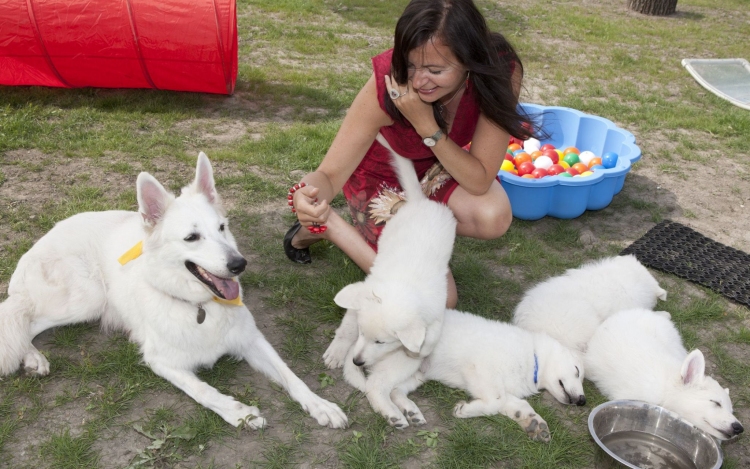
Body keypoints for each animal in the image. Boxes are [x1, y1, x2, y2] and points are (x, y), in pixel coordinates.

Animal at [0, 153, 350, 428]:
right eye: (192, 237)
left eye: (221, 228)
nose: (240, 264)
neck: (200, 306)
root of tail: (43, 239)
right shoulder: (161, 362)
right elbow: (204, 392)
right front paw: (241, 413)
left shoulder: (252, 340)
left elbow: (290, 375)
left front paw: (320, 405)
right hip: (86, 298)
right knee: (21, 317)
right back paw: (33, 357)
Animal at [324, 133, 458, 428]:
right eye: (363, 334)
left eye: (381, 342)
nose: (357, 361)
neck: (402, 284)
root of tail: (419, 202)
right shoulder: (364, 293)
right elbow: (347, 326)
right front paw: (338, 350)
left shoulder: (436, 311)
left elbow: (429, 336)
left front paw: (417, 350)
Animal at [390, 308, 592, 440]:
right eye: (577, 370)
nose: (583, 401)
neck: (533, 358)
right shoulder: (481, 370)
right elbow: (495, 403)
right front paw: (464, 410)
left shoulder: (500, 387)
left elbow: (515, 403)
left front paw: (533, 423)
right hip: (404, 361)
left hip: (417, 374)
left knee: (394, 391)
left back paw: (410, 411)